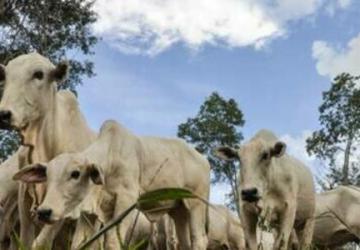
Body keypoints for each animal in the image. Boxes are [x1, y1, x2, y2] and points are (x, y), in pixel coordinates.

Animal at [0, 52, 97, 248]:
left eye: (39, 74)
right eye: (5, 76)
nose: (4, 114)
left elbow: (41, 243)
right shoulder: (24, 198)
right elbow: (26, 242)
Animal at [14, 120, 211, 249]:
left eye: (75, 173)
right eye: (47, 175)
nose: (44, 211)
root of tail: (203, 159)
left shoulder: (127, 201)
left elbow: (112, 242)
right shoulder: (91, 212)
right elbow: (81, 243)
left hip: (196, 204)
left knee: (199, 239)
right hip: (178, 210)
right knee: (184, 241)